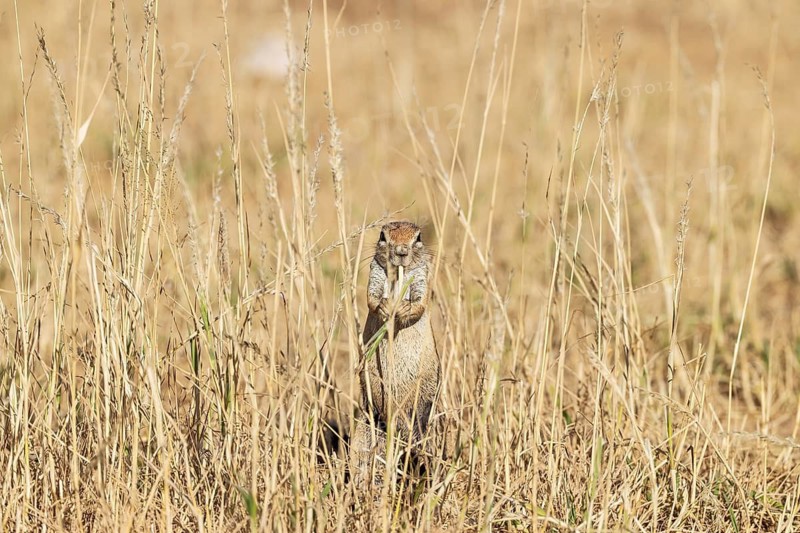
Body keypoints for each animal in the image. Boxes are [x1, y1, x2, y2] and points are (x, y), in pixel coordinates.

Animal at [349, 220, 440, 487]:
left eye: (418, 237)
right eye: (383, 235)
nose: (400, 251)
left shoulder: (422, 277)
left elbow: (419, 303)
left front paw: (400, 308)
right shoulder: (375, 274)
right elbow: (371, 297)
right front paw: (386, 306)